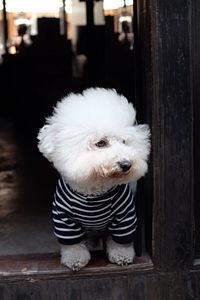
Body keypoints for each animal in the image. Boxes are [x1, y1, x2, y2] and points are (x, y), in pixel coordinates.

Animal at [37, 88, 150, 270]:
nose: (126, 164)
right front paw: (75, 259)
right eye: (101, 143)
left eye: (124, 141)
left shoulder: (124, 217)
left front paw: (122, 256)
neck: (95, 191)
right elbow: (73, 245)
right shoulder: (64, 220)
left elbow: (120, 242)